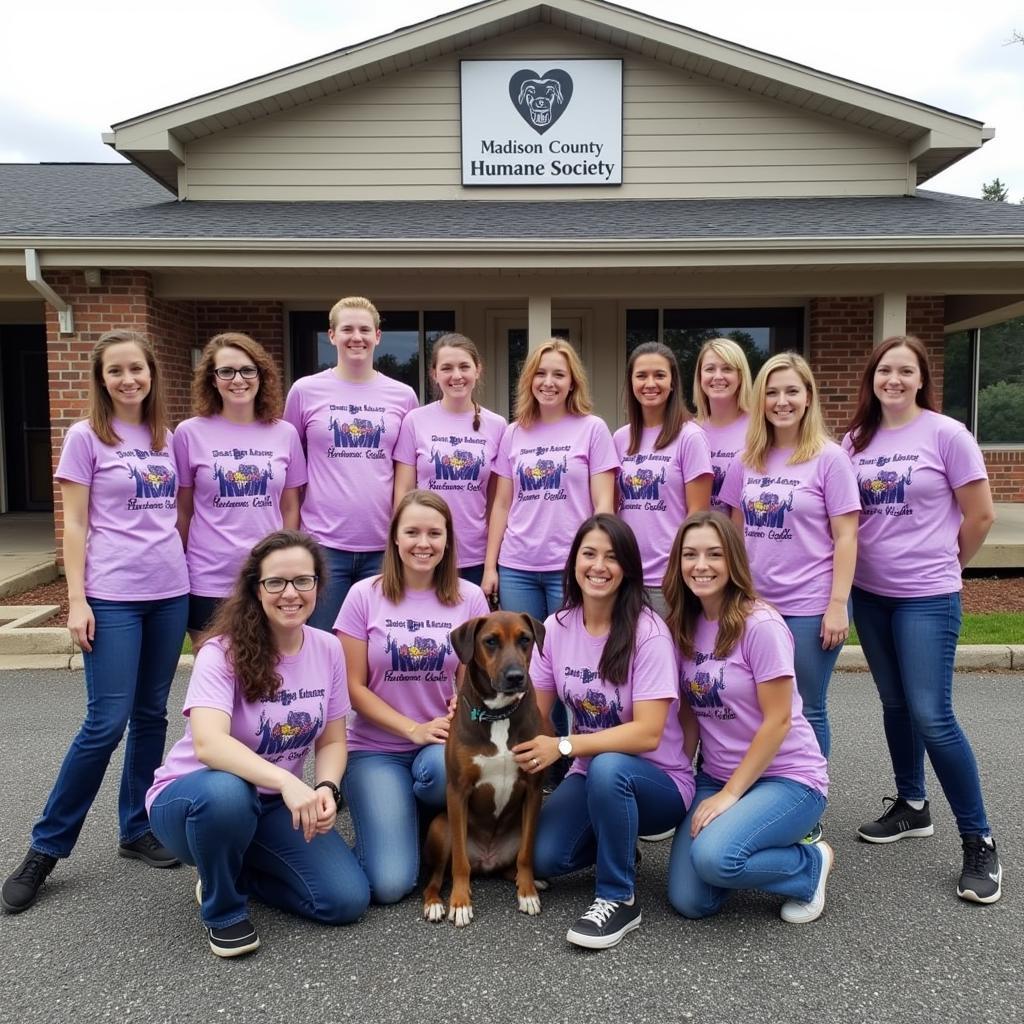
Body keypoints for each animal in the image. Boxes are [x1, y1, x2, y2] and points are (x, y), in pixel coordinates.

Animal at [421, 610, 548, 933]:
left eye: (525, 639)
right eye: (490, 641)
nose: (516, 677)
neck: (498, 714)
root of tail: (487, 862)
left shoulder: (533, 788)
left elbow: (526, 854)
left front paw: (527, 892)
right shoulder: (457, 791)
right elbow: (459, 863)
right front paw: (460, 903)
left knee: (511, 865)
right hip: (441, 827)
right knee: (436, 878)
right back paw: (436, 903)